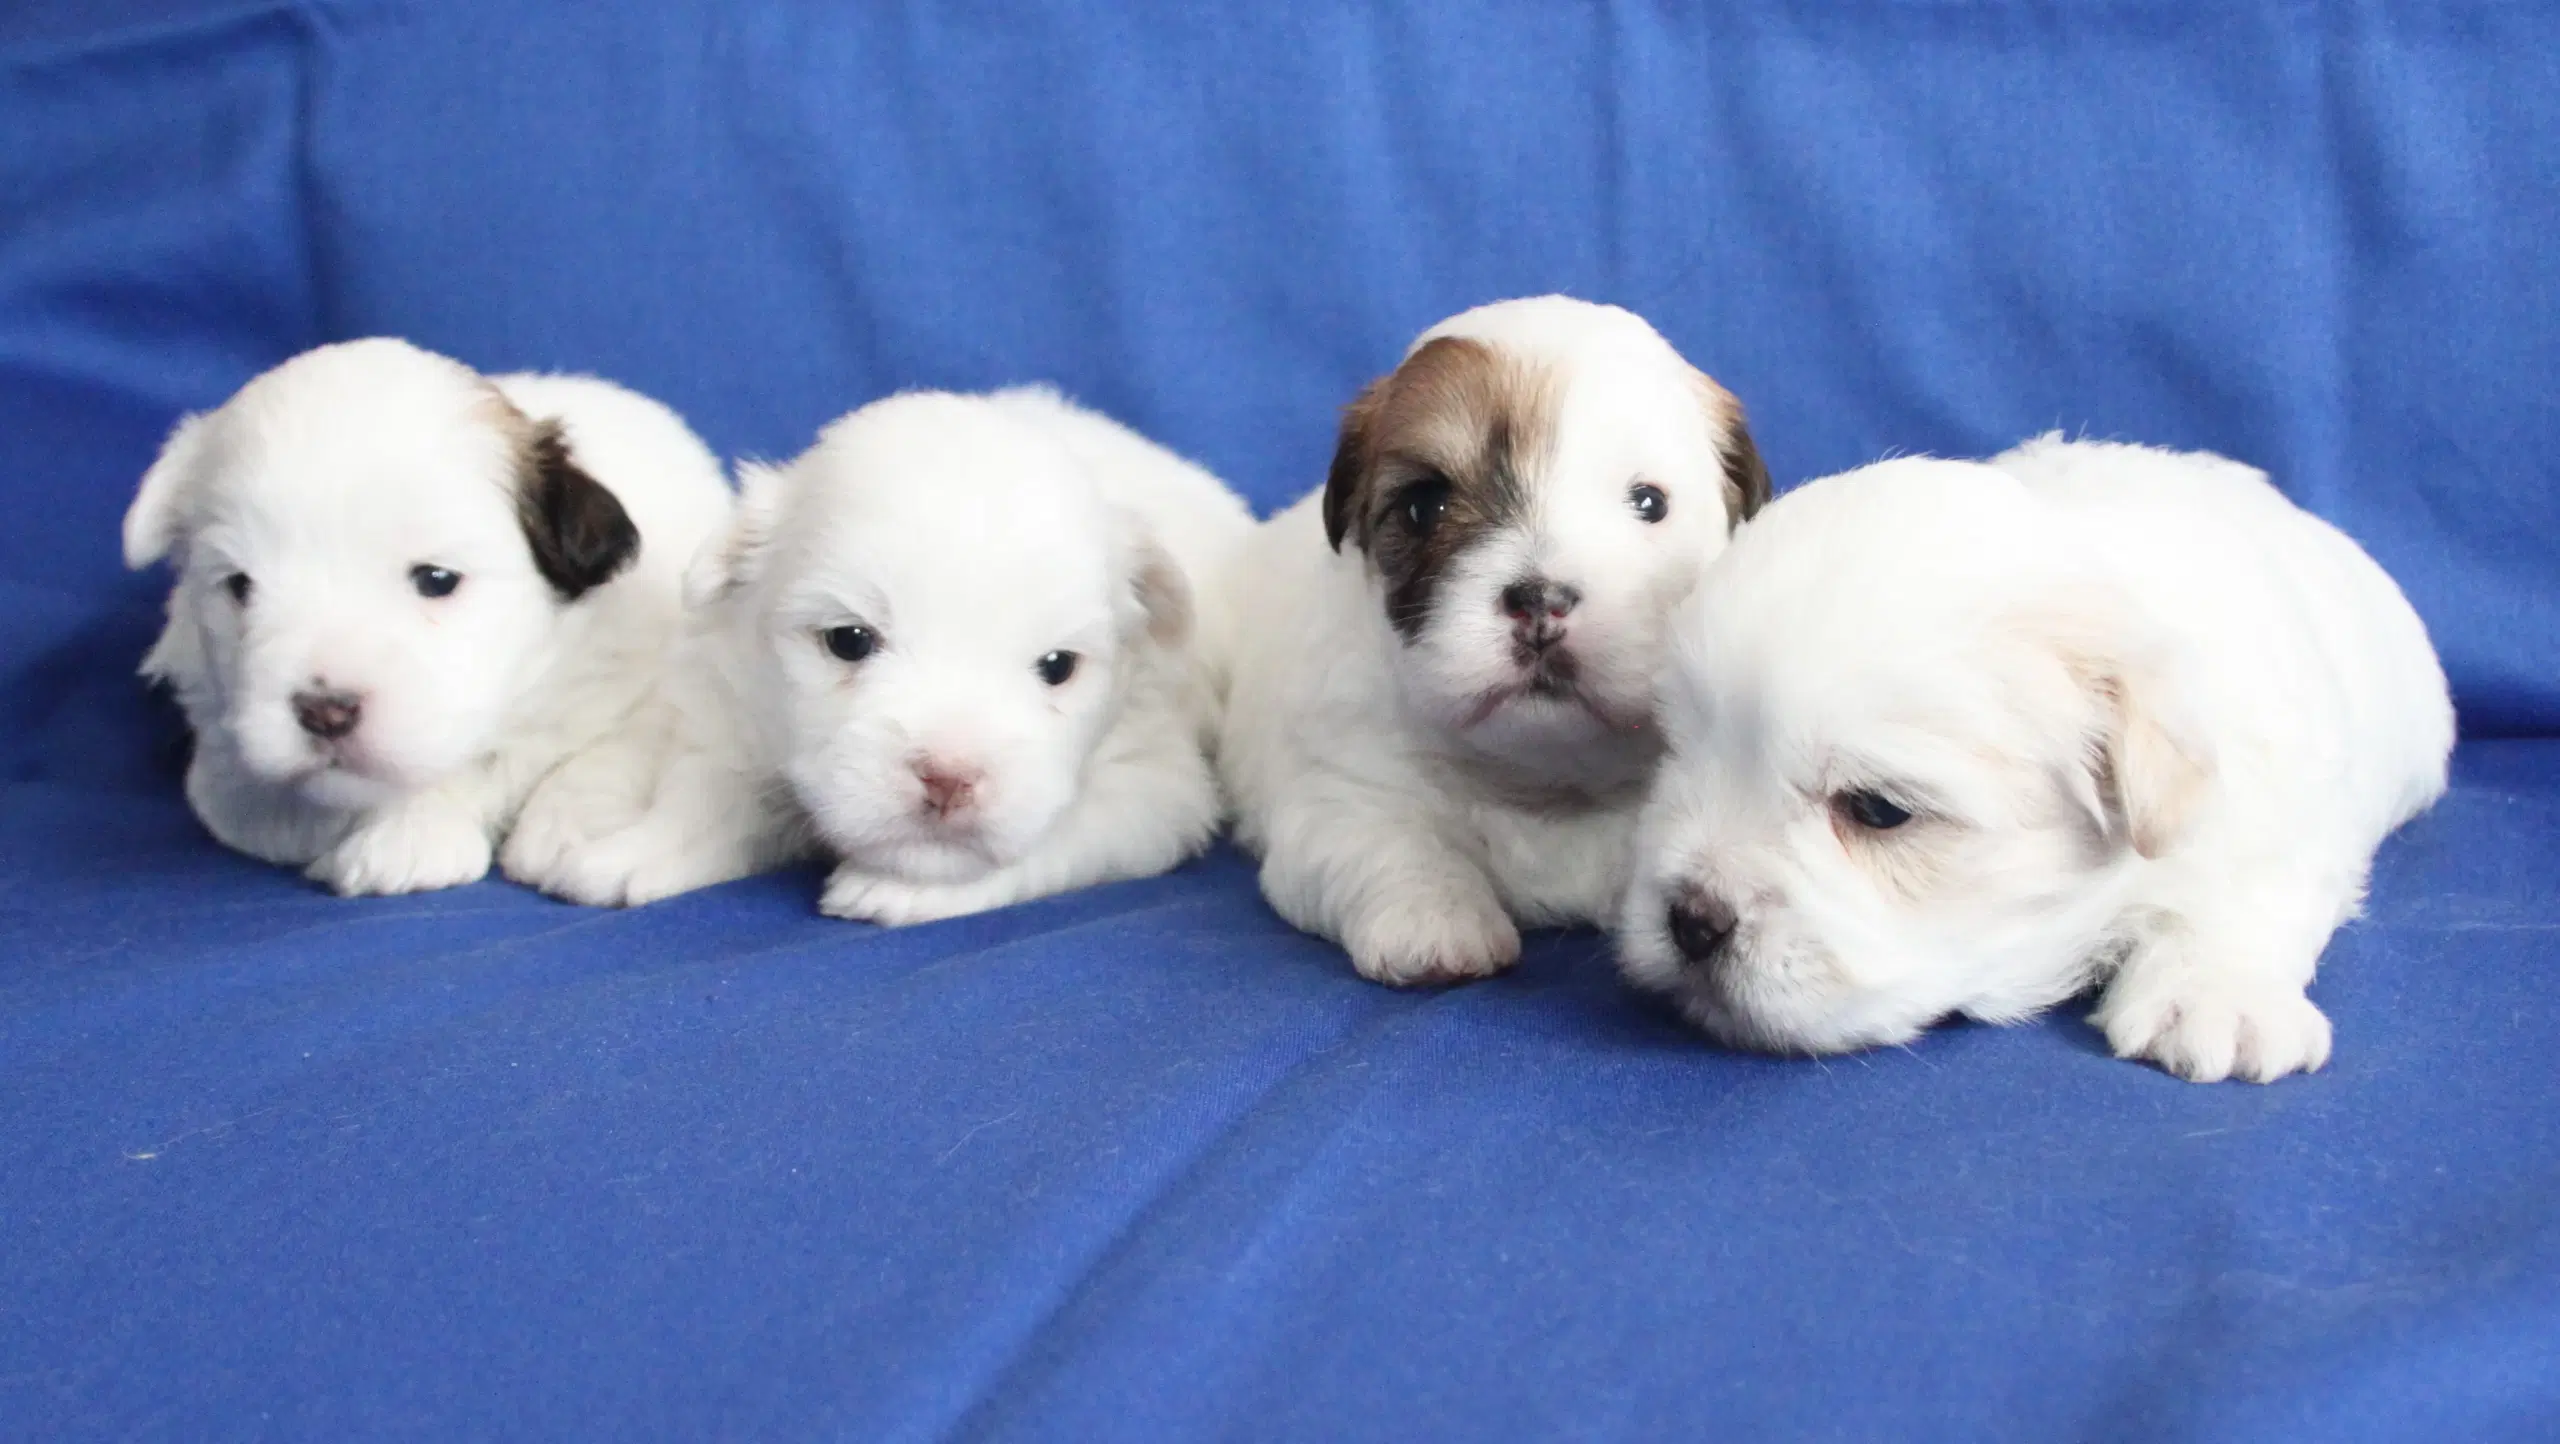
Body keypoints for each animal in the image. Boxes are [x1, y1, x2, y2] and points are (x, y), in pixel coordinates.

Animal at [124, 340, 737, 896]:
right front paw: (413, 833)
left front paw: (568, 830)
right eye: (240, 586)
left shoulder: (664, 675)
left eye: (436, 579)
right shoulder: (233, 773)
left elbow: (617, 749)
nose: (325, 712)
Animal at [501, 384, 1249, 926]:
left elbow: (1056, 837)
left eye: (1058, 666)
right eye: (850, 640)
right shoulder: (745, 720)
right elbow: (705, 800)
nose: (949, 778)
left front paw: (911, 890)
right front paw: (627, 855)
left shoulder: (1155, 785)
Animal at [1213, 296, 1771, 988]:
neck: (1544, 785)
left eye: (1649, 503)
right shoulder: (1338, 796)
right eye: (1424, 506)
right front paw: (1433, 921)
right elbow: (1388, 843)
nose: (1540, 601)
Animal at [1617, 440, 2457, 1085]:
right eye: (1674, 752)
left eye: (1879, 811)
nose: (1689, 921)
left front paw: (2214, 995)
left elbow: (2247, 890)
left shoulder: (2282, 802)